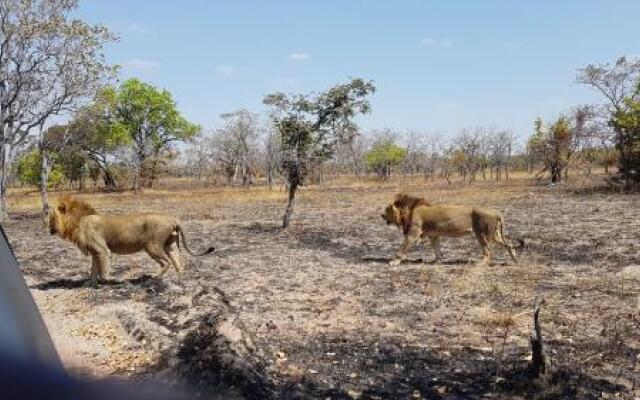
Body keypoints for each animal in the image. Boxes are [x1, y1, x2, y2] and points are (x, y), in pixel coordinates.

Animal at [47, 195, 216, 282]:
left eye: (51, 218)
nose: (48, 228)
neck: (77, 223)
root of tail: (173, 218)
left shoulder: (103, 251)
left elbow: (103, 270)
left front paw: (106, 282)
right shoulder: (95, 253)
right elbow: (93, 270)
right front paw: (90, 284)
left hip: (152, 246)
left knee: (166, 263)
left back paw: (154, 277)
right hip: (171, 244)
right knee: (179, 262)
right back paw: (179, 278)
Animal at [380, 193, 524, 266]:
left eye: (387, 209)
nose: (381, 215)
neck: (407, 212)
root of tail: (497, 212)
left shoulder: (412, 234)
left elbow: (402, 249)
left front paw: (394, 262)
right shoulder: (433, 235)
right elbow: (437, 249)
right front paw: (437, 261)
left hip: (483, 233)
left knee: (488, 251)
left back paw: (481, 263)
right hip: (495, 234)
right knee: (509, 243)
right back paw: (515, 260)